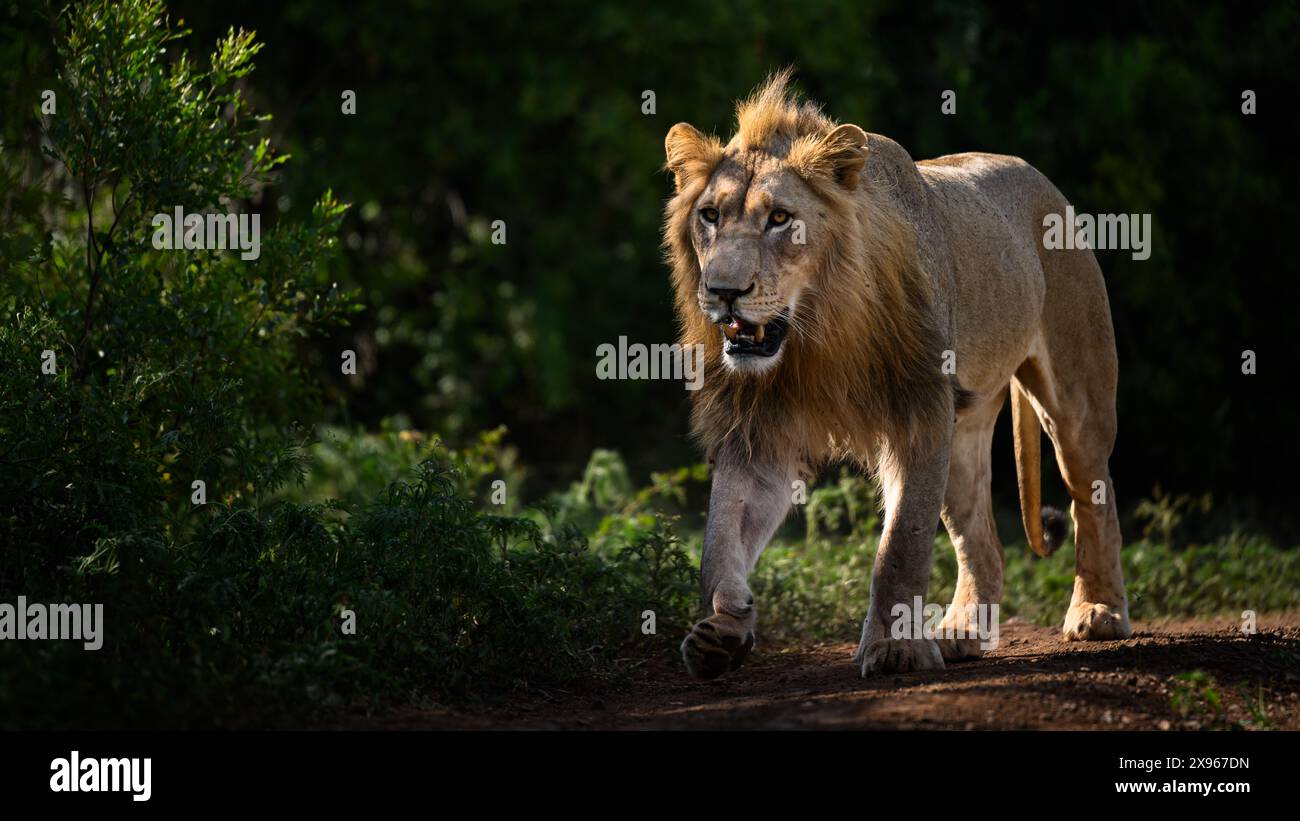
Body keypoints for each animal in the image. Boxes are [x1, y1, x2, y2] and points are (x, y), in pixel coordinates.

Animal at [663, 69, 1132, 679]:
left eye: (781, 219)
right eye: (710, 216)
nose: (723, 291)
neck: (817, 333)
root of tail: (1033, 173)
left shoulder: (921, 411)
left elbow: (900, 545)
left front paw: (894, 648)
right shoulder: (758, 429)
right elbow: (720, 534)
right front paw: (722, 624)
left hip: (1076, 397)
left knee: (1094, 497)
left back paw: (1098, 612)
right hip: (965, 432)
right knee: (984, 543)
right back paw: (962, 631)